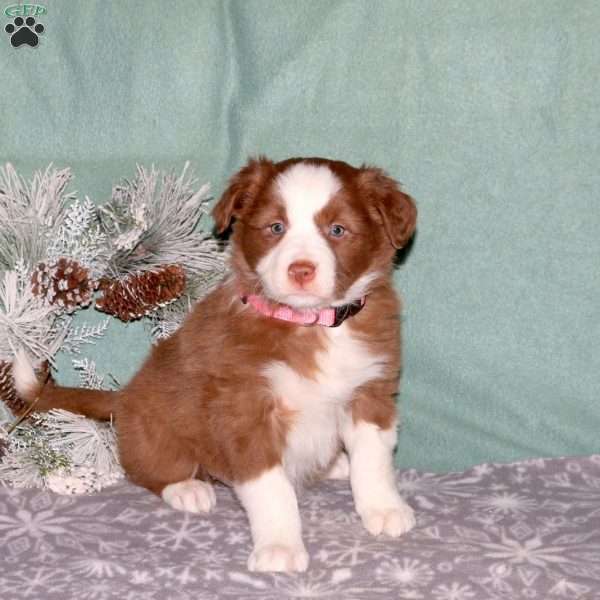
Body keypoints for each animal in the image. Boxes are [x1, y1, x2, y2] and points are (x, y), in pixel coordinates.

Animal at [12, 157, 418, 576]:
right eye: (276, 227)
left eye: (337, 230)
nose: (301, 270)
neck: (309, 326)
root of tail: (122, 398)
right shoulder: (245, 410)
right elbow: (272, 487)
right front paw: (280, 546)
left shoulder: (370, 393)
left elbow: (374, 460)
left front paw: (384, 508)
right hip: (156, 426)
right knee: (146, 467)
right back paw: (187, 488)